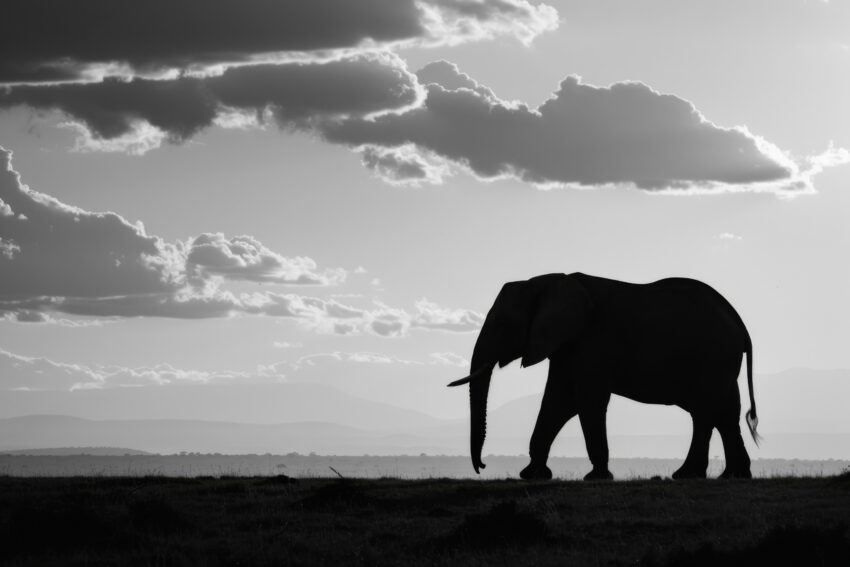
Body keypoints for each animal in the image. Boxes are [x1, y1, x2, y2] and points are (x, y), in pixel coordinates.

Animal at [448, 272, 759, 481]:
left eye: (503, 325)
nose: (482, 467)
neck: (547, 281)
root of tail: (740, 324)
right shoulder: (566, 346)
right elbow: (557, 402)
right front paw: (533, 475)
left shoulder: (592, 342)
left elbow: (585, 401)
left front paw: (596, 477)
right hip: (720, 362)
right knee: (725, 412)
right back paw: (732, 476)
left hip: (713, 357)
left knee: (705, 411)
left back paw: (687, 475)